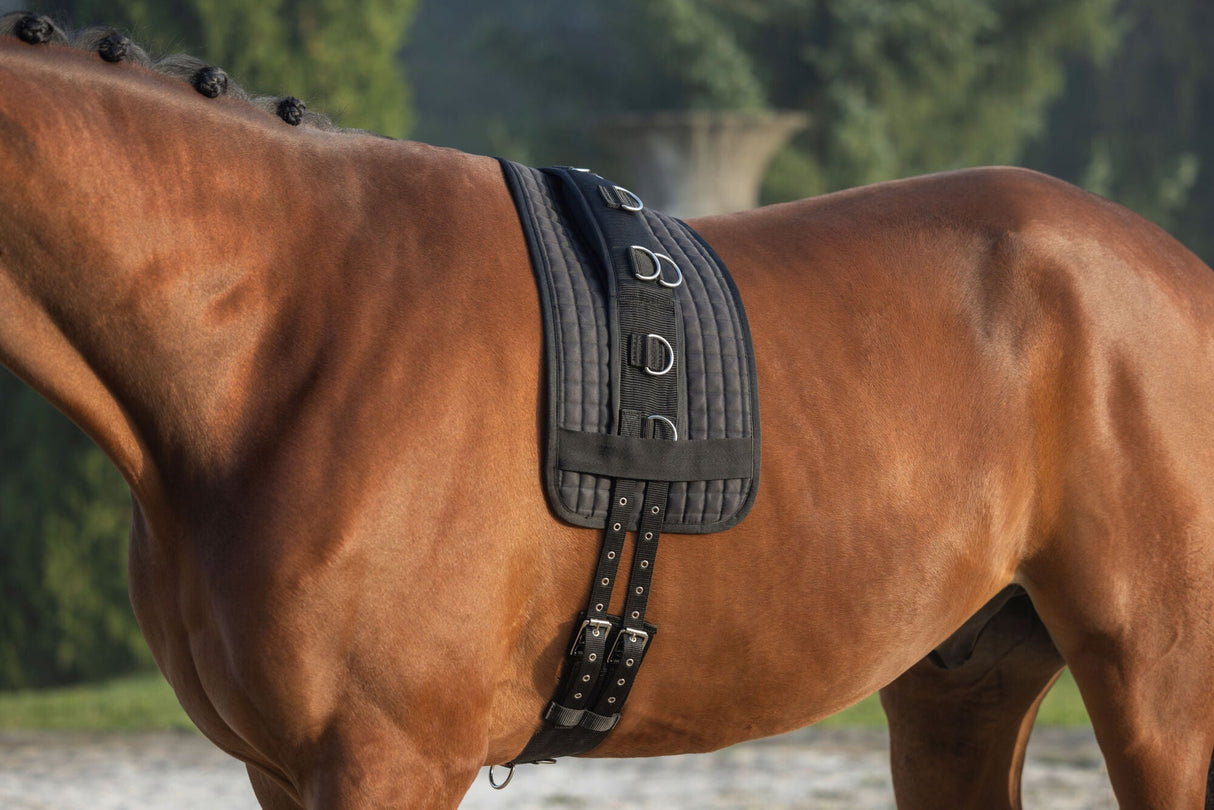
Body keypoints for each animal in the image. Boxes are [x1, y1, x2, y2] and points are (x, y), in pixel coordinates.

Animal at [2, 14, 1212, 809]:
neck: (281, 324)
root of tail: (1175, 271)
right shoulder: (275, 768)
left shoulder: (387, 759)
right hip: (957, 696)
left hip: (1159, 696)